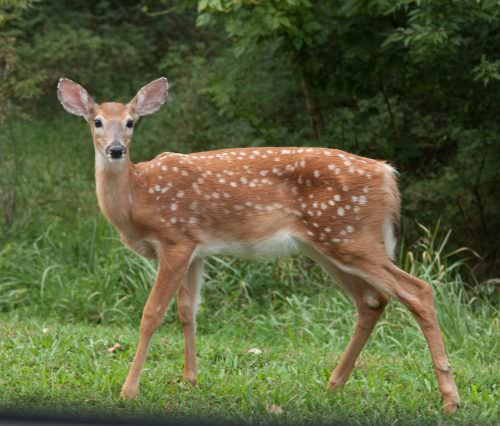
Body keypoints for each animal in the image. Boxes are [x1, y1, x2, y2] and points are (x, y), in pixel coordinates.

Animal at [56, 76, 458, 412]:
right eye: (96, 121)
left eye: (131, 122)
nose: (115, 150)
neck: (137, 198)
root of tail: (388, 175)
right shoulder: (195, 248)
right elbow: (188, 311)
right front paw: (190, 380)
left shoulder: (175, 239)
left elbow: (151, 313)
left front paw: (129, 390)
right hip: (327, 244)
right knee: (372, 301)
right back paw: (334, 384)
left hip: (350, 235)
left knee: (418, 290)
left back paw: (449, 399)